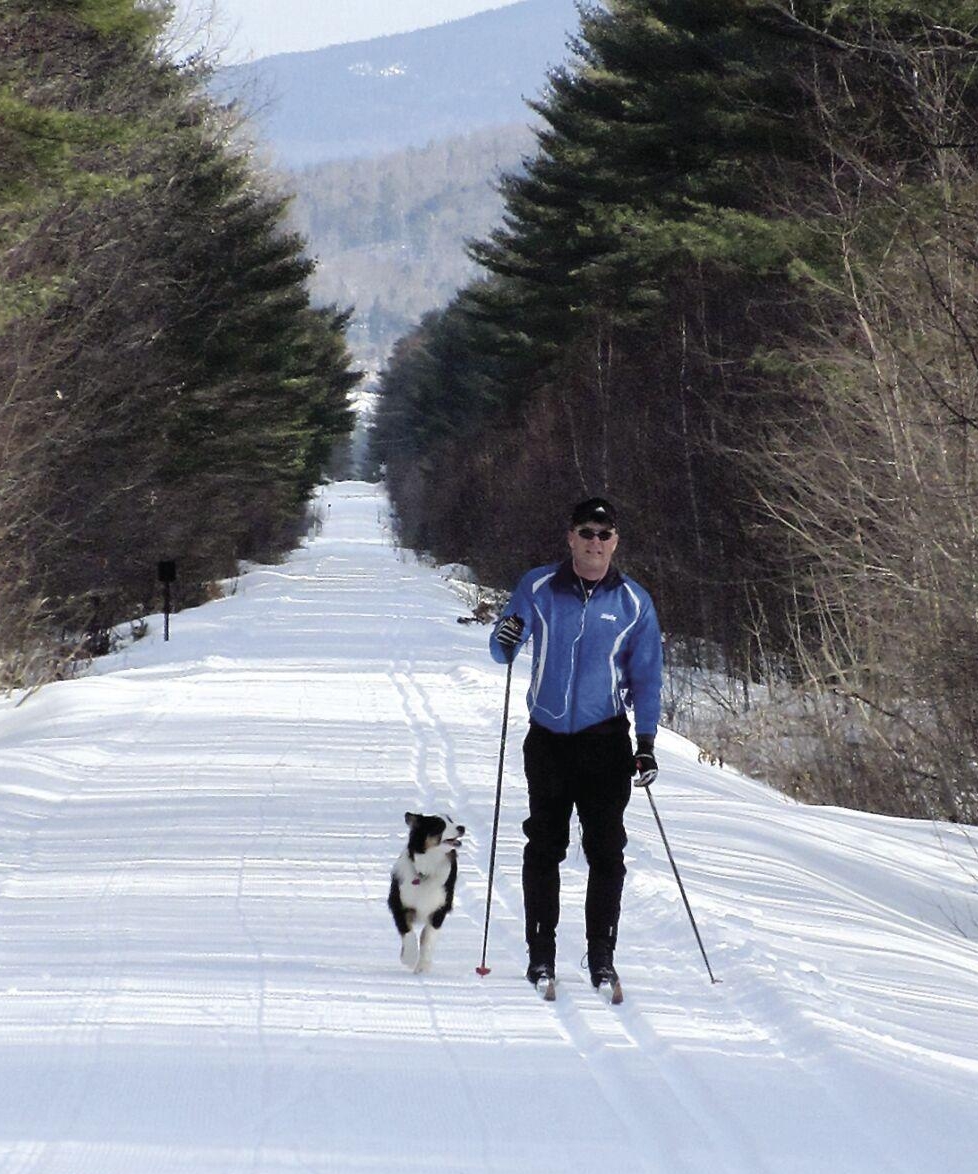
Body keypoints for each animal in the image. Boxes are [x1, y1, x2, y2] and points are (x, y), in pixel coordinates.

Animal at [387, 817, 462, 972]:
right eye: (440, 826)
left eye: (451, 820)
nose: (462, 828)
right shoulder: (399, 903)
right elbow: (408, 932)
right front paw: (409, 958)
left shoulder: (440, 908)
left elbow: (428, 938)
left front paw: (423, 967)